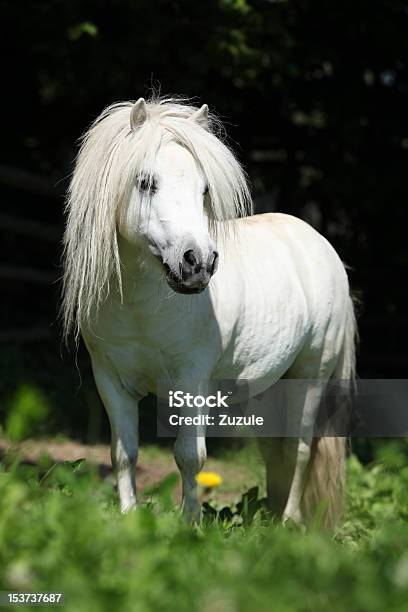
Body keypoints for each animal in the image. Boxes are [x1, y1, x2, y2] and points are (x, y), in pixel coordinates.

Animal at [61, 95, 356, 524]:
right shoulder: (111, 381)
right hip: (268, 386)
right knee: (276, 451)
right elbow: (124, 455)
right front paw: (130, 521)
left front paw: (189, 524)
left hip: (310, 376)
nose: (198, 262)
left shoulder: (192, 381)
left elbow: (190, 457)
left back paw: (288, 522)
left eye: (203, 189)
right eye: (145, 183)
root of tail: (320, 244)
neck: (140, 310)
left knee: (299, 448)